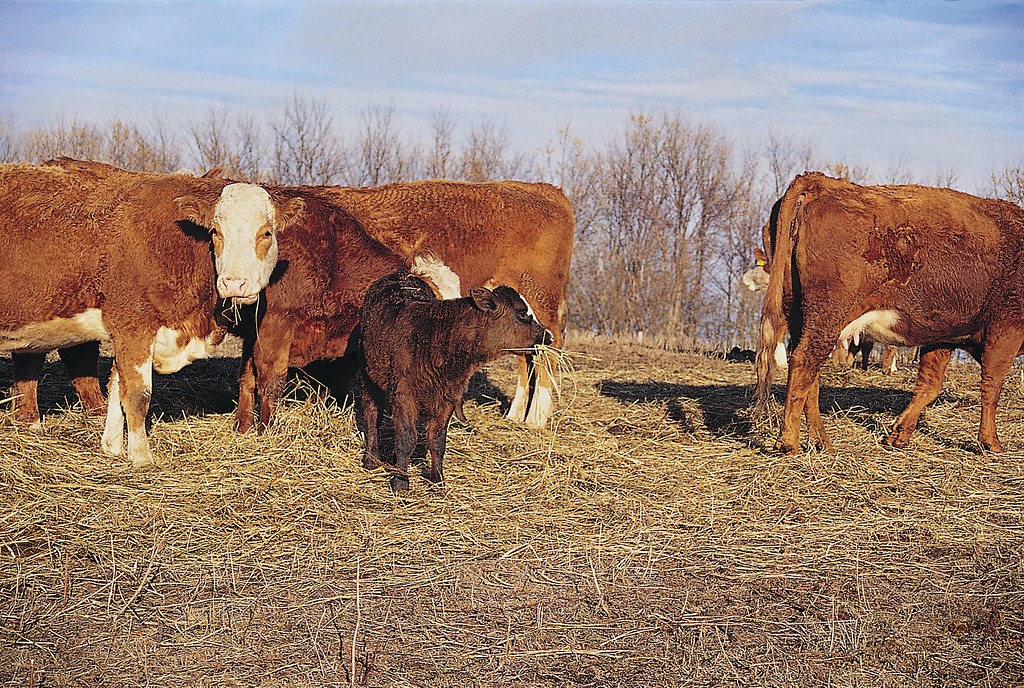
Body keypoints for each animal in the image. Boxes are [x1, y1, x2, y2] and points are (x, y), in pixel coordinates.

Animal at [0, 162, 303, 464]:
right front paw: (142, 458)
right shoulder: (133, 325)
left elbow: (116, 388)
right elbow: (137, 395)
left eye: (266, 233)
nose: (234, 283)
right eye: (216, 232)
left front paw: (113, 448)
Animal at [362, 268, 552, 489]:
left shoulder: (449, 396)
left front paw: (438, 480)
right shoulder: (403, 394)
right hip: (367, 371)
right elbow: (406, 438)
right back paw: (371, 459)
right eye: (522, 313)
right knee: (371, 412)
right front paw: (400, 481)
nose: (549, 336)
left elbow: (437, 440)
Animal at [753, 172, 1024, 454]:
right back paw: (788, 442)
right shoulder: (1007, 330)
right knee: (803, 364)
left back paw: (822, 441)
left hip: (801, 317)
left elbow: (929, 385)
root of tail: (821, 182)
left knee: (809, 374)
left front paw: (899, 434)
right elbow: (992, 386)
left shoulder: (943, 335)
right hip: (826, 318)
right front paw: (991, 442)